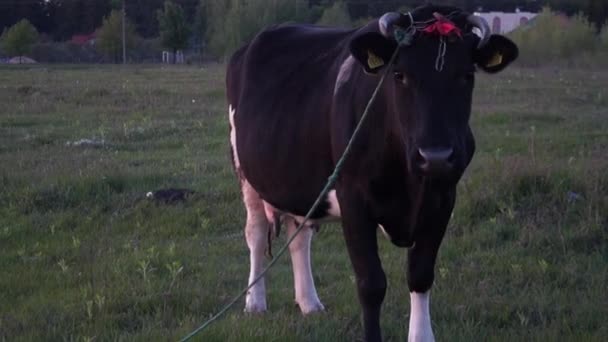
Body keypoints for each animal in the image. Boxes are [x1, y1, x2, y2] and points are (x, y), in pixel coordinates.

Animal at [226, 4, 516, 342]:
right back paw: (255, 302)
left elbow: (420, 275)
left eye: (466, 75)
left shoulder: (443, 199)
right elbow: (371, 284)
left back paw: (309, 302)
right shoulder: (354, 200)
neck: (409, 183)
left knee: (299, 237)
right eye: (400, 74)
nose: (436, 157)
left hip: (297, 179)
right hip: (246, 174)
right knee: (256, 233)